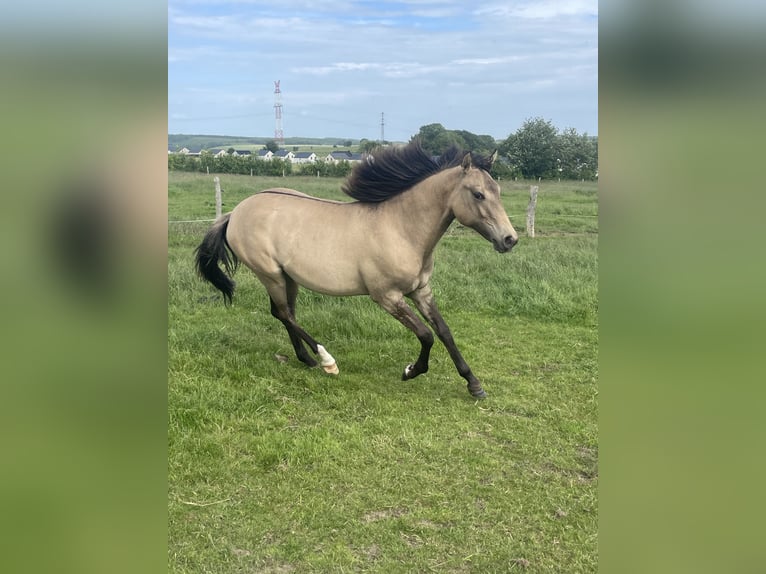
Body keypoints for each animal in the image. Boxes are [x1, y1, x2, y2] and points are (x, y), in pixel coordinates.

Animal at [195, 141, 518, 398]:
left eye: (498, 191)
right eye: (478, 194)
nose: (509, 239)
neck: (401, 229)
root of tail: (235, 213)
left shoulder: (420, 291)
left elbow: (445, 332)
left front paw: (474, 384)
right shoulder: (387, 297)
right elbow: (426, 335)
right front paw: (410, 371)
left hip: (288, 277)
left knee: (284, 313)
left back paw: (307, 359)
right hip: (269, 273)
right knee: (285, 314)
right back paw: (326, 361)